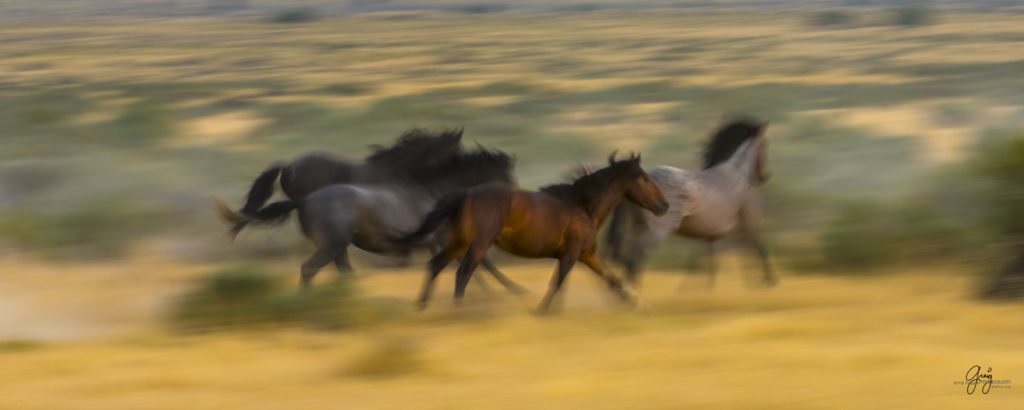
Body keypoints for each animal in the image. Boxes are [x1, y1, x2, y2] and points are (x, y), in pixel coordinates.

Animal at [217, 144, 528, 291]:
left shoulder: (431, 243)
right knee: (309, 269)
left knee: (341, 270)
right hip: (332, 245)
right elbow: (481, 264)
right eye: (506, 175)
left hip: (337, 247)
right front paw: (511, 289)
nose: (517, 199)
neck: (433, 190)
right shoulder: (442, 240)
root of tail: (304, 200)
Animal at [399, 151, 671, 311]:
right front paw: (540, 311)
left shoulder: (586, 255)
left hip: (459, 242)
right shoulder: (572, 254)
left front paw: (636, 302)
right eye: (645, 178)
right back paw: (459, 310)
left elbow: (610, 280)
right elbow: (558, 283)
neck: (583, 205)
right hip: (478, 244)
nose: (664, 206)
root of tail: (464, 193)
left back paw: (423, 305)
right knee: (463, 273)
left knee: (436, 265)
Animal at [606, 115, 774, 289]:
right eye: (766, 144)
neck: (738, 175)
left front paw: (705, 289)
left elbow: (708, 264)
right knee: (634, 256)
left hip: (634, 227)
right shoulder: (747, 225)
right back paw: (632, 289)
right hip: (657, 231)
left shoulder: (713, 235)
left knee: (623, 256)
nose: (765, 175)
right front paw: (768, 281)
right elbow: (759, 249)